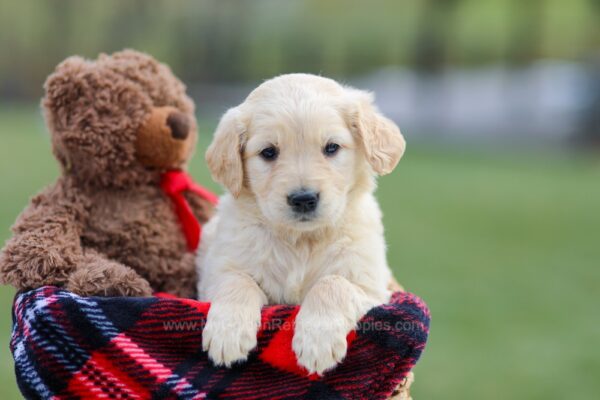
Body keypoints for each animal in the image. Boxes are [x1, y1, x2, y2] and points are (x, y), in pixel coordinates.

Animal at [199, 72, 406, 376]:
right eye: (268, 152)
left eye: (331, 148)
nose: (304, 199)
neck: (301, 241)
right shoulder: (214, 272)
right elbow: (237, 280)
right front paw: (228, 333)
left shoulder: (372, 288)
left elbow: (333, 283)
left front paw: (317, 341)